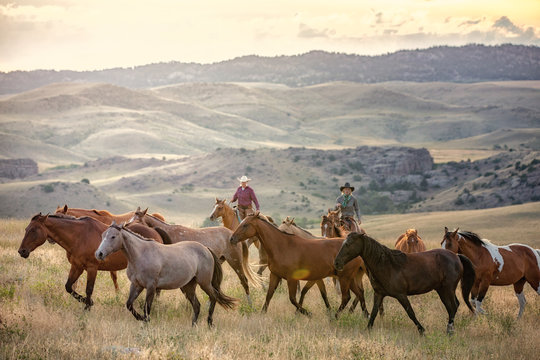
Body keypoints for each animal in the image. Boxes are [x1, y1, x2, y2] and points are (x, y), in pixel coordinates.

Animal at [17, 214, 162, 310]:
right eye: (26, 229)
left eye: (33, 230)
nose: (22, 251)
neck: (79, 236)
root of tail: (155, 232)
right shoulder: (76, 267)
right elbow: (68, 287)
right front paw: (88, 302)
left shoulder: (92, 268)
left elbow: (89, 289)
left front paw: (87, 307)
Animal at [129, 205, 260, 304]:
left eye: (137, 220)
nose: (126, 227)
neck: (169, 232)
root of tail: (234, 234)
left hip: (235, 262)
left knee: (244, 281)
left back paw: (250, 305)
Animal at [230, 212, 364, 316]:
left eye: (245, 225)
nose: (232, 239)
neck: (282, 246)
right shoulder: (275, 275)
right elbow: (269, 295)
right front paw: (262, 313)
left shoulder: (292, 279)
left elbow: (293, 298)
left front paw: (307, 313)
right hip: (349, 278)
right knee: (358, 294)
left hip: (345, 277)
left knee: (347, 297)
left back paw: (337, 316)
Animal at [332, 232, 474, 336]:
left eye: (348, 244)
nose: (337, 263)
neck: (387, 265)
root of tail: (456, 256)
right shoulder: (379, 294)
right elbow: (373, 313)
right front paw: (367, 329)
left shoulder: (401, 295)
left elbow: (410, 312)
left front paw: (422, 330)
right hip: (442, 290)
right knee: (453, 306)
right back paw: (450, 330)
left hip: (447, 289)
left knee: (453, 306)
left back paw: (449, 331)